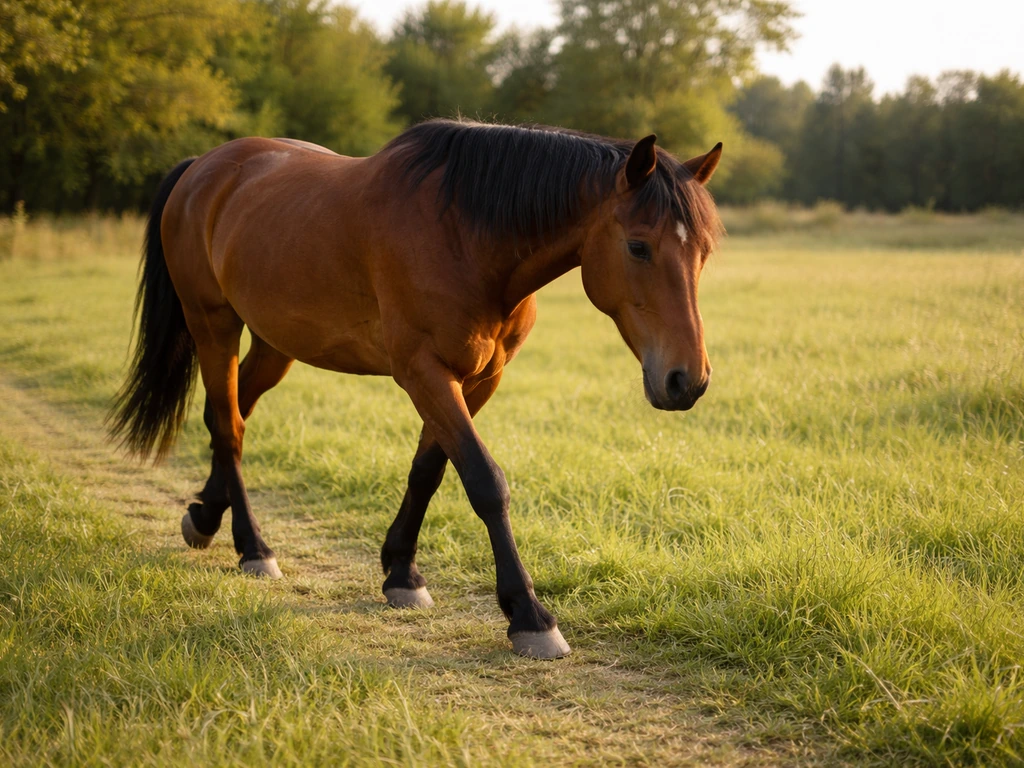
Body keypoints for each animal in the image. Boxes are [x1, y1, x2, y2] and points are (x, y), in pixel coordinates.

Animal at [108, 119, 723, 659]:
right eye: (639, 247)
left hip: (275, 343)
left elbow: (430, 470)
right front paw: (529, 616)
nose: (686, 380)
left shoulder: (478, 378)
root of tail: (203, 168)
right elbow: (485, 481)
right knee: (228, 425)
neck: (466, 236)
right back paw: (253, 547)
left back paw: (205, 517)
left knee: (232, 414)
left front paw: (401, 572)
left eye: (704, 252)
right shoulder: (424, 371)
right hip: (213, 324)